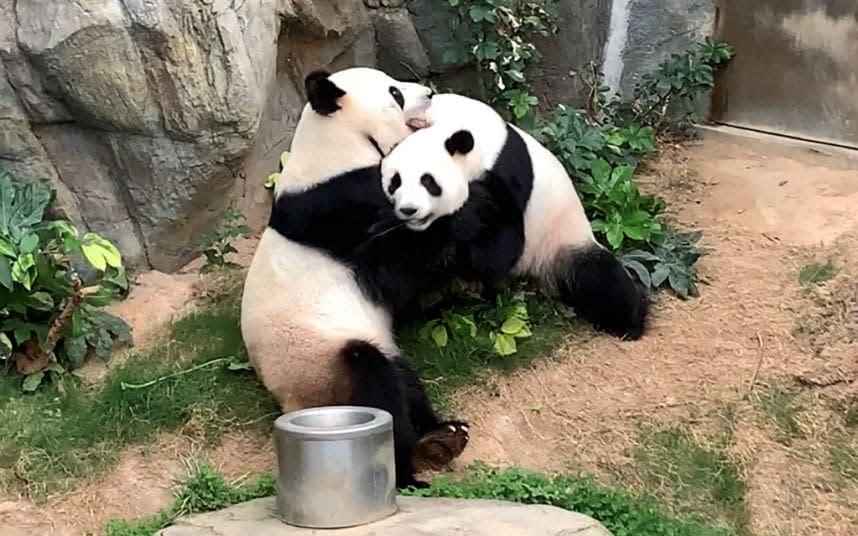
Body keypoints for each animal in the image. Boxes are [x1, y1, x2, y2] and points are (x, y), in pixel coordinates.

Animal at [239, 68, 468, 490]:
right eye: (395, 93)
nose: (430, 93)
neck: (337, 144)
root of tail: (290, 403)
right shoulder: (341, 206)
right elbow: (395, 270)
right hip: (321, 362)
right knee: (374, 383)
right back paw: (408, 465)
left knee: (405, 381)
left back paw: (441, 436)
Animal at [378, 90, 644, 338]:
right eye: (395, 182)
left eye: (429, 182)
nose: (409, 210)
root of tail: (534, 276)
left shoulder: (506, 173)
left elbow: (500, 250)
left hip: (562, 241)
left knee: (600, 278)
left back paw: (628, 324)